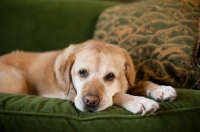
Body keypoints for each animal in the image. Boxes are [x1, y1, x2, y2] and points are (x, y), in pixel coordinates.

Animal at [0, 39, 176, 115]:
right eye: (82, 73)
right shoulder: (73, 95)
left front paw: (161, 89)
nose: (90, 101)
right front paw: (139, 101)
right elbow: (117, 95)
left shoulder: (130, 83)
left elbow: (143, 82)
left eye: (110, 76)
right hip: (19, 79)